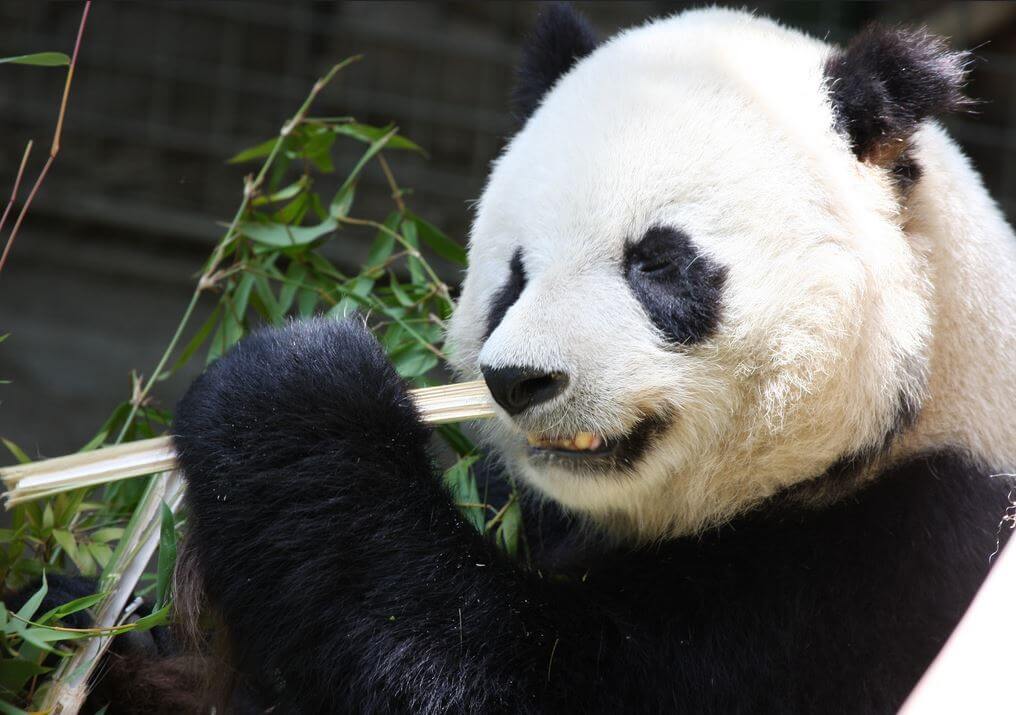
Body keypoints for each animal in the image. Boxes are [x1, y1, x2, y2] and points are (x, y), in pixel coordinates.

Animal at [172, 5, 1016, 713]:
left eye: (658, 262)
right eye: (514, 274)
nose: (519, 380)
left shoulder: (898, 565)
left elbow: (529, 675)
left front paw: (290, 387)